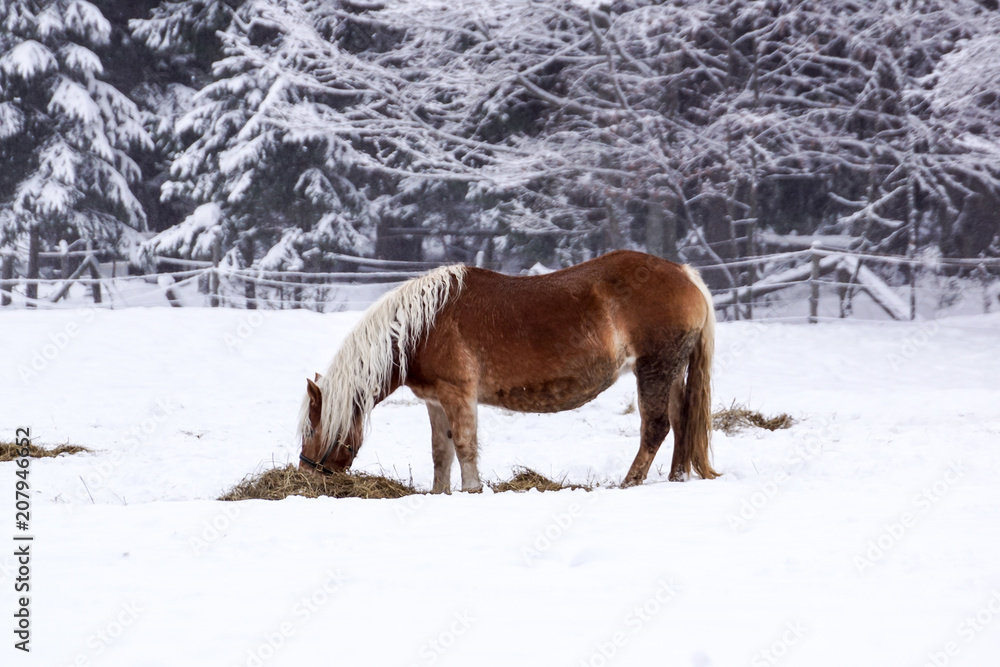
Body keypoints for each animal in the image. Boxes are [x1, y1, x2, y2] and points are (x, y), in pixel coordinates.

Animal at [297, 249, 719, 492]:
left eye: (313, 428)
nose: (306, 473)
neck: (424, 326)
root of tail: (685, 274)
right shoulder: (435, 402)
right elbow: (440, 452)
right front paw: (439, 493)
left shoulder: (457, 394)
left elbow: (464, 446)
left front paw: (472, 490)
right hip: (672, 372)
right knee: (681, 420)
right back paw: (677, 479)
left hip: (655, 369)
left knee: (656, 427)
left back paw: (630, 483)